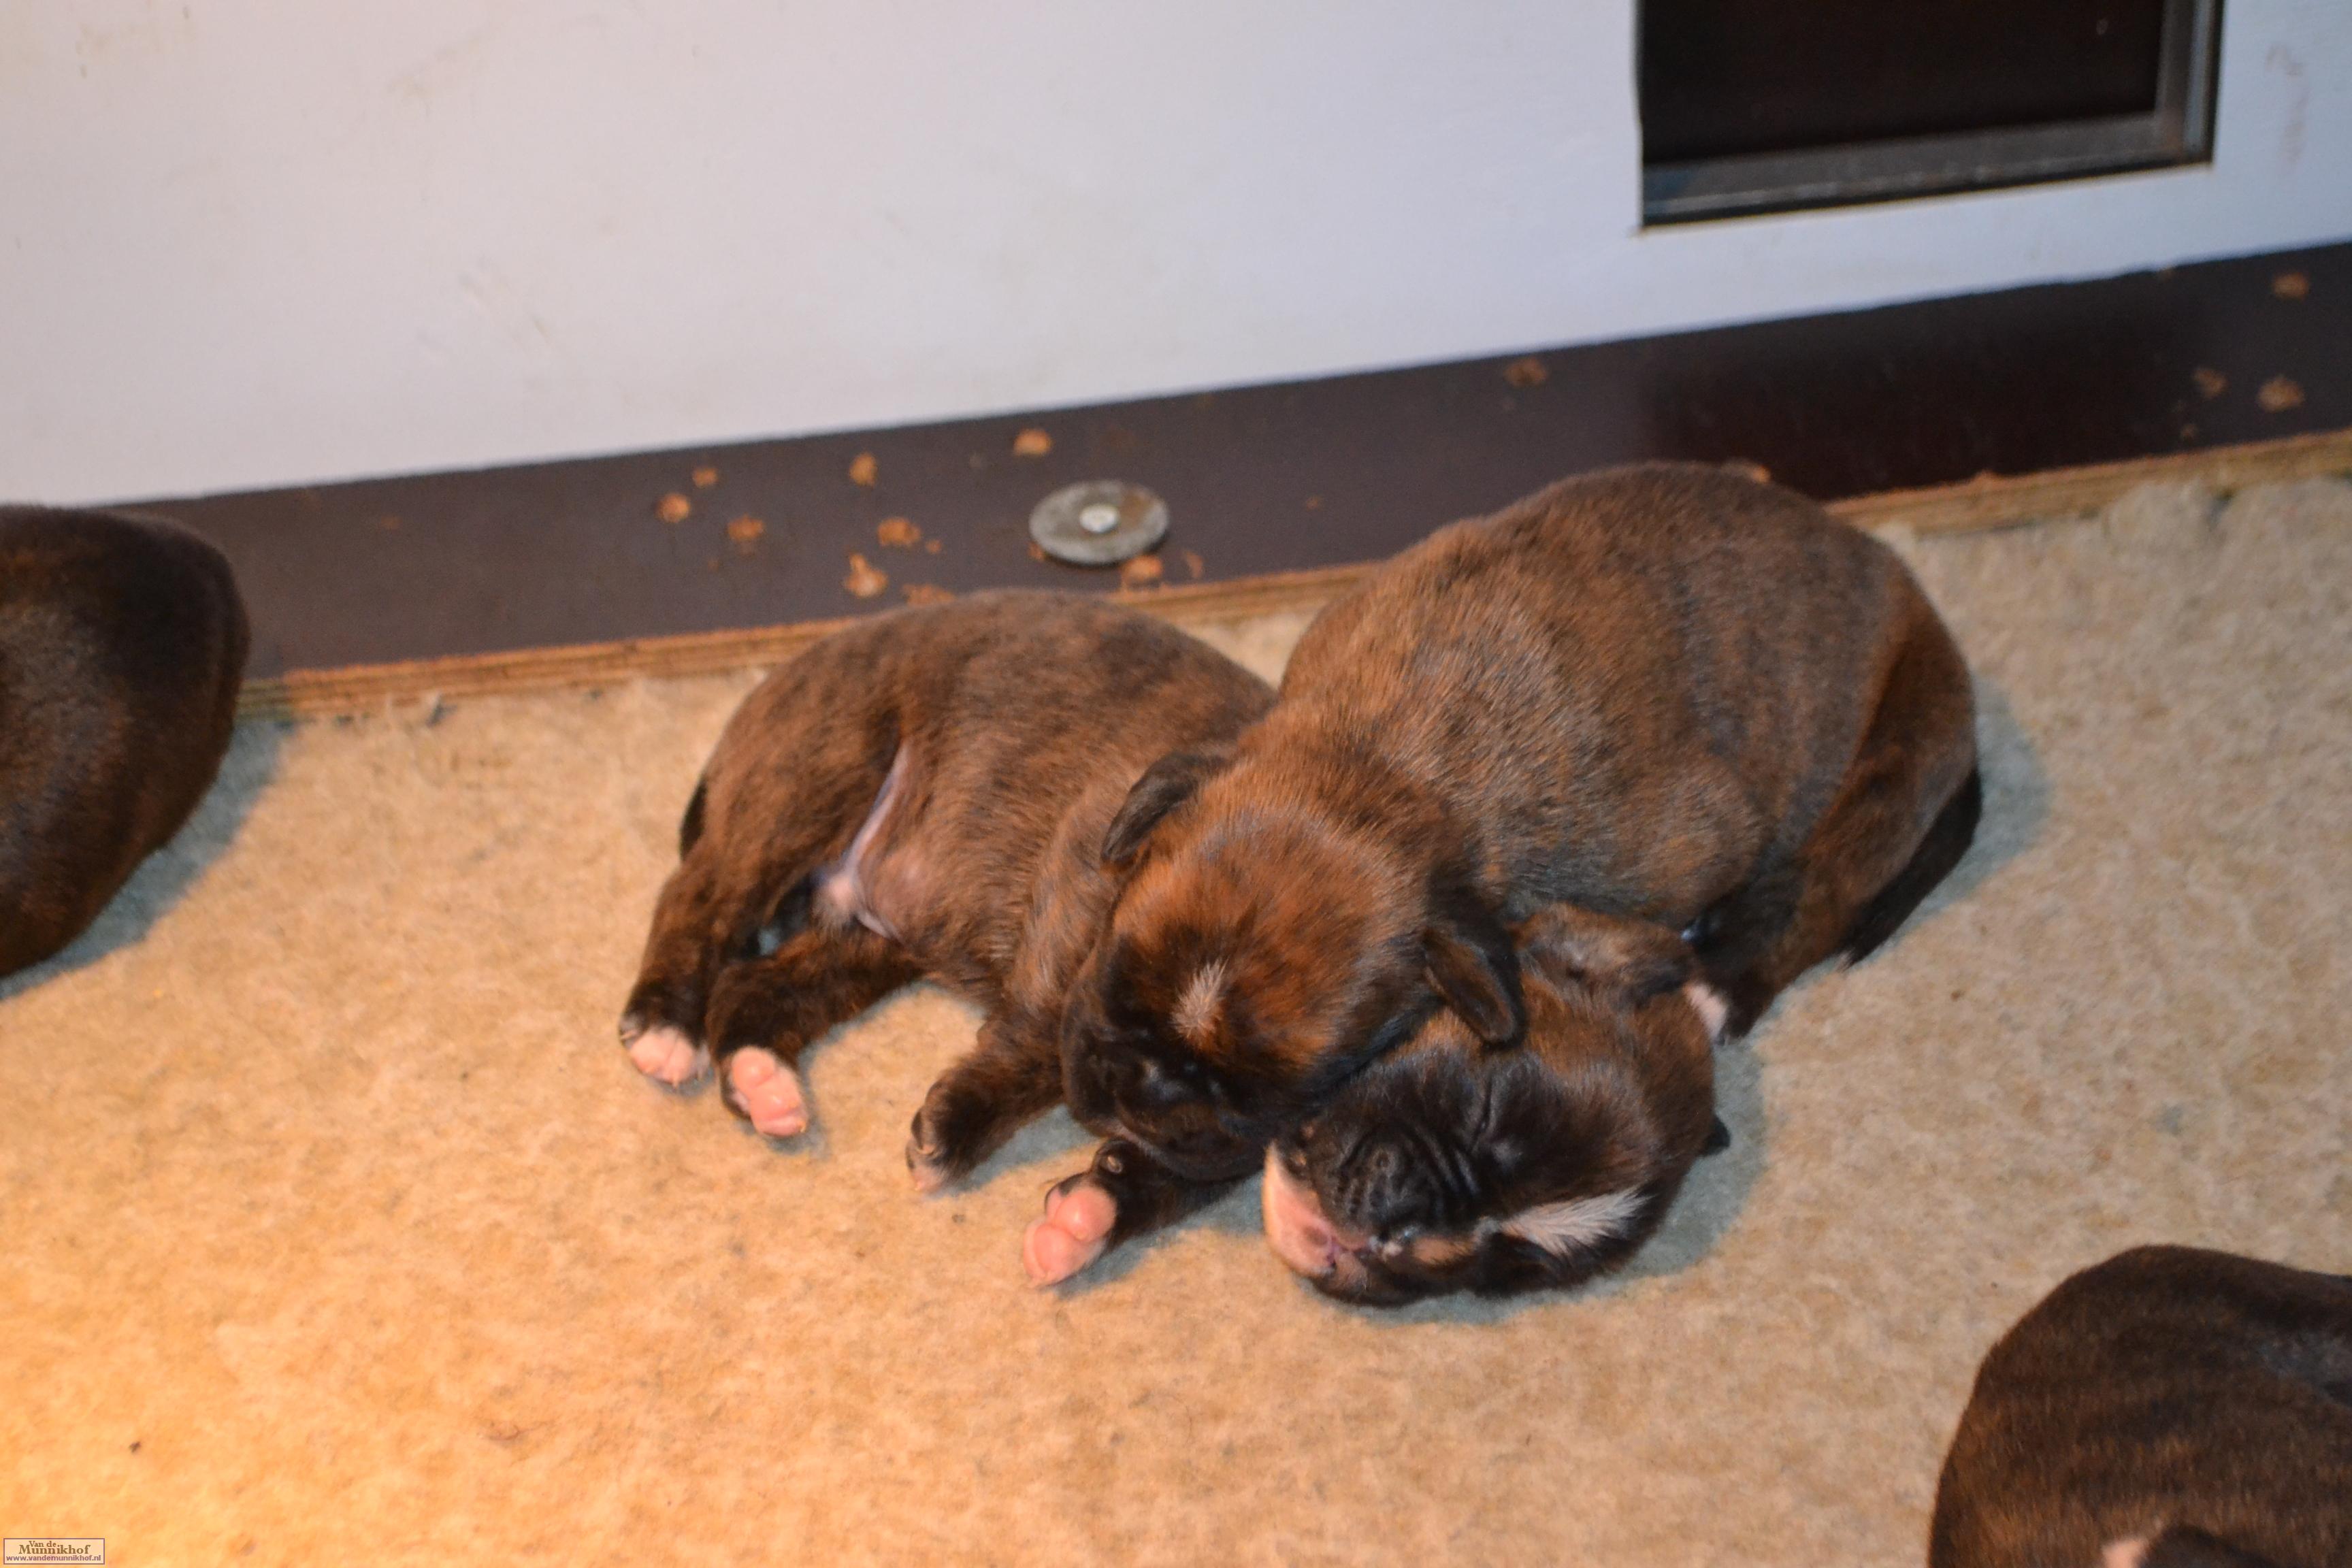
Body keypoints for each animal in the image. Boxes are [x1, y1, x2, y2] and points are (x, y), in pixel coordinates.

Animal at [618, 592, 1273, 1191]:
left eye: (1255, 1094)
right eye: (1127, 984)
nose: (1151, 1102)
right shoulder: (1090, 858)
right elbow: (1050, 1033)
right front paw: (960, 1123)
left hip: (873, 938)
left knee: (753, 983)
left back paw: (761, 1079)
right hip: (816, 773)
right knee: (699, 897)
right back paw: (665, 1026)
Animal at [1057, 463, 1980, 1205]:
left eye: (1268, 1091)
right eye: (1112, 978)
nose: (1137, 1093)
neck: (1383, 762)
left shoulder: (1702, 839)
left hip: (1894, 757)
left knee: (1820, 892)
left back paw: (1721, 981)